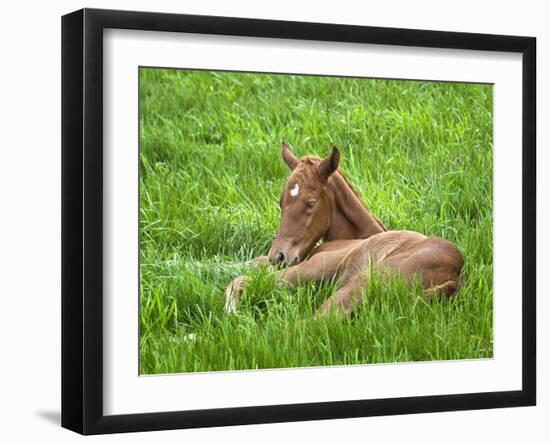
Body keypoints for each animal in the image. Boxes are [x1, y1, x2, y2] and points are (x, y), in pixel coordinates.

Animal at [225, 142, 466, 316]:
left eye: (310, 203)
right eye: (281, 201)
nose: (278, 256)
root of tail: (454, 278)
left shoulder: (314, 265)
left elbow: (242, 278)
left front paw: (231, 308)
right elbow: (253, 263)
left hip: (361, 283)